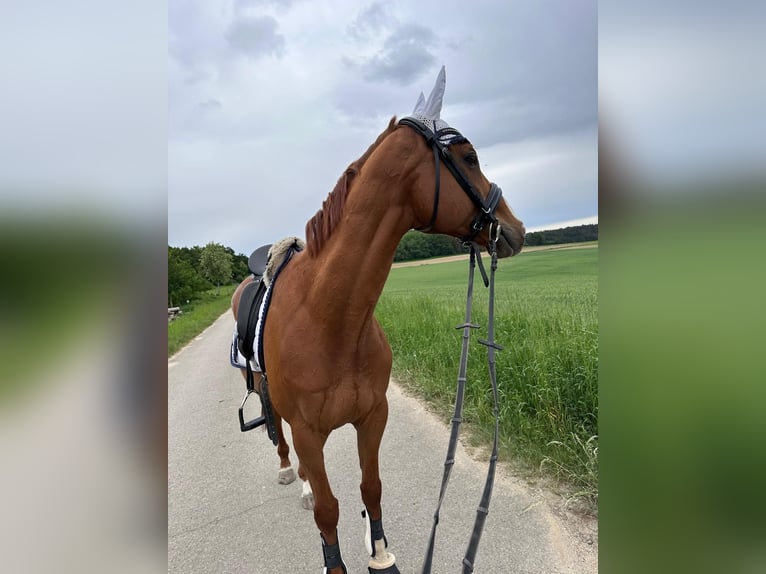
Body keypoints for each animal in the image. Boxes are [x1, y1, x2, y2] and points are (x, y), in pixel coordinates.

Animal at [252, 70, 528, 572]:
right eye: (469, 157)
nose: (514, 228)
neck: (330, 320)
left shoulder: (373, 416)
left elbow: (371, 488)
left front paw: (380, 553)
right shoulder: (308, 432)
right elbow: (328, 509)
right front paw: (335, 559)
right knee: (280, 437)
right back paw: (290, 475)